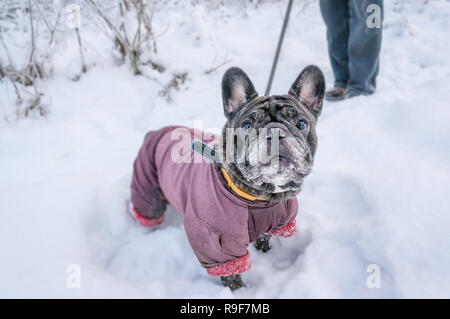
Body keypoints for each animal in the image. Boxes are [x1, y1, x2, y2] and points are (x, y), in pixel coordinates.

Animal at [129, 65, 324, 290]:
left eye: (301, 123)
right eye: (247, 126)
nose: (275, 133)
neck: (260, 198)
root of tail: (158, 131)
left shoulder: (278, 223)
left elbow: (264, 239)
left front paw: (265, 252)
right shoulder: (218, 246)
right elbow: (232, 275)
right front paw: (239, 293)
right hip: (147, 188)